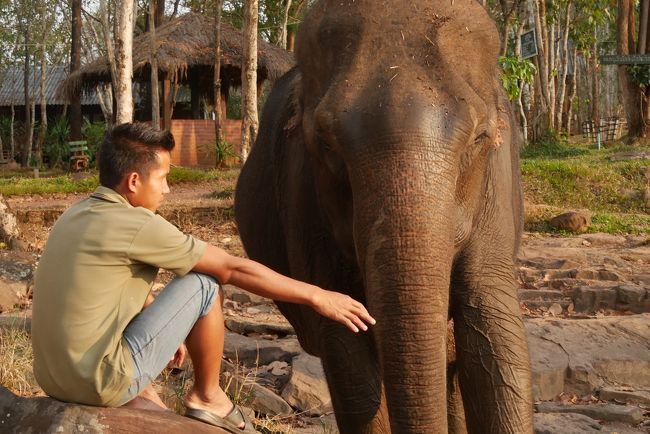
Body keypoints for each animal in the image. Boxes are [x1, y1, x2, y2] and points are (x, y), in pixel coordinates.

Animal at [233, 0, 532, 434]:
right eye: (325, 141)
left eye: (479, 137)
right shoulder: (303, 197)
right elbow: (347, 357)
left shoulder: (497, 193)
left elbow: (496, 337)